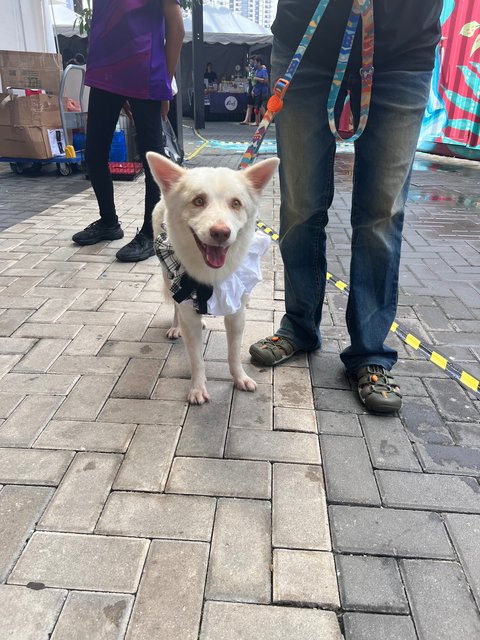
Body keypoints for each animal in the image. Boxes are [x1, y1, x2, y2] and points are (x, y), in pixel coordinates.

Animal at [148, 152, 280, 402]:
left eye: (236, 203)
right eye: (198, 201)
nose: (221, 233)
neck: (212, 274)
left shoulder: (237, 313)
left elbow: (233, 354)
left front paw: (240, 378)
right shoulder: (187, 307)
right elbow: (196, 359)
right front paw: (198, 388)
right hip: (168, 278)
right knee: (175, 308)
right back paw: (175, 327)